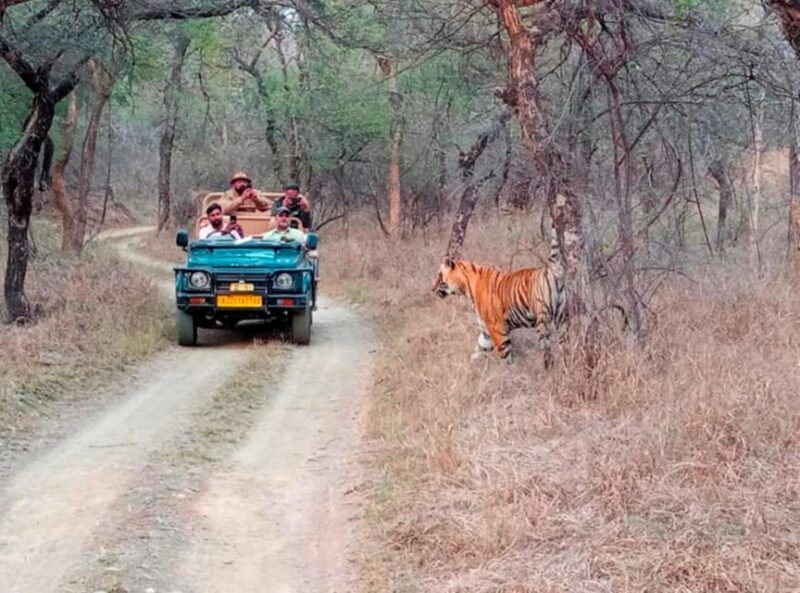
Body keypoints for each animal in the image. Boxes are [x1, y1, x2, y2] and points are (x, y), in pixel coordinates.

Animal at [432, 230, 566, 368]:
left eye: (439, 275)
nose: (432, 288)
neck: (466, 286)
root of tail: (550, 270)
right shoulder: (486, 331)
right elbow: (478, 349)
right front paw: (470, 366)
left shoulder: (497, 329)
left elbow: (505, 356)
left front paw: (508, 371)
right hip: (561, 318)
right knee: (565, 344)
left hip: (543, 320)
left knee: (547, 349)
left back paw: (547, 368)